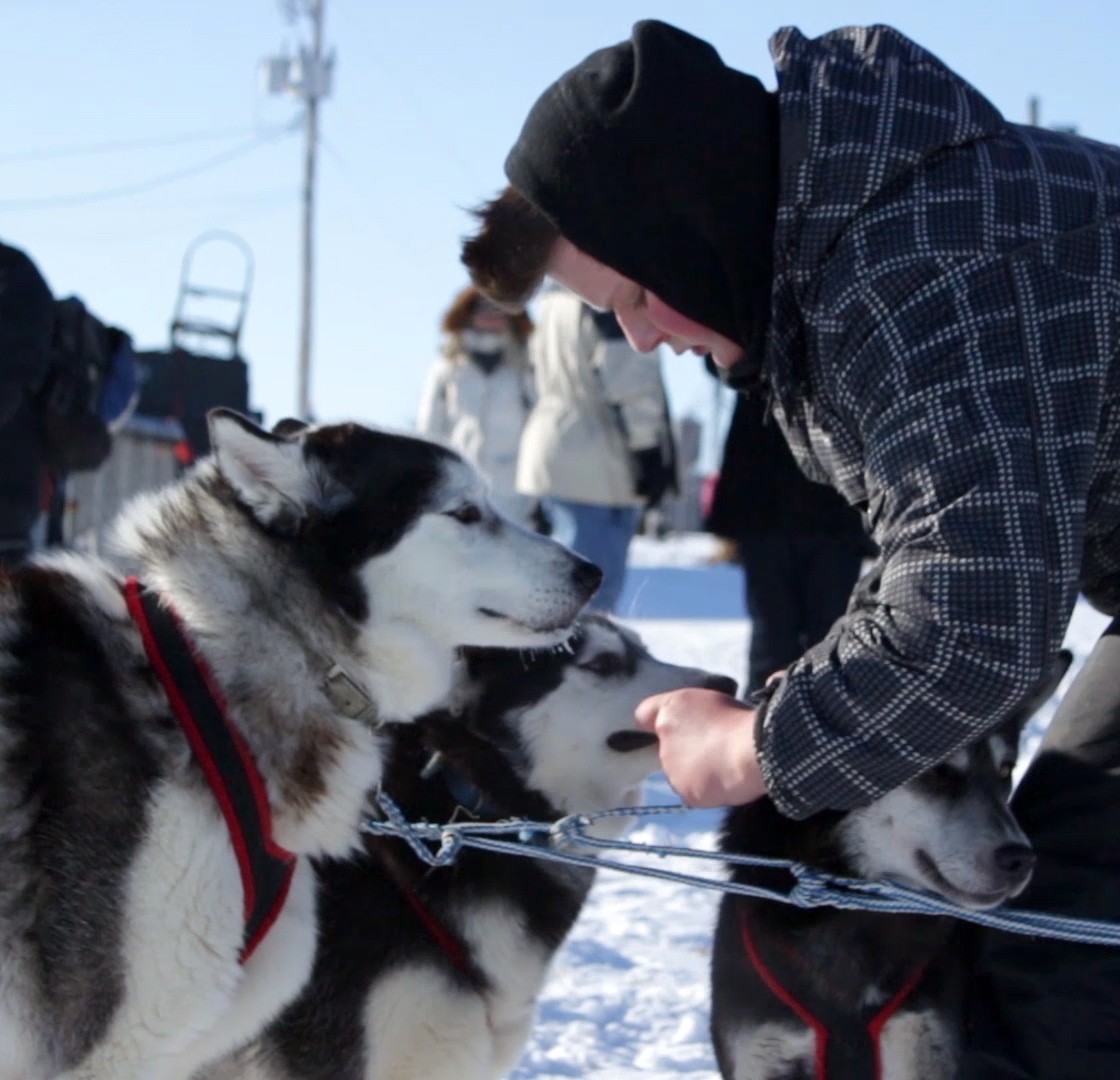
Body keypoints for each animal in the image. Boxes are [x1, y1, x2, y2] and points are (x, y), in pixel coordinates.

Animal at [712, 649, 1070, 1080]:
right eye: (936, 770)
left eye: (1005, 771)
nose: (1020, 858)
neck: (854, 910)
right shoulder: (765, 1052)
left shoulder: (921, 1043)